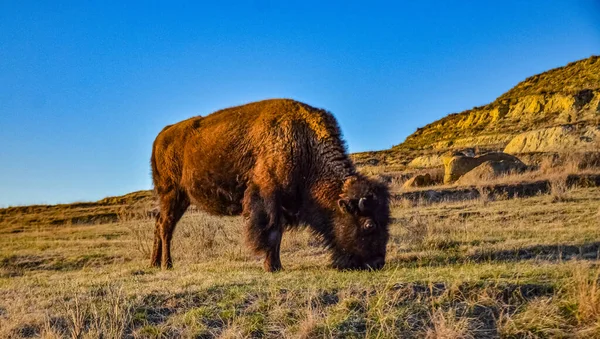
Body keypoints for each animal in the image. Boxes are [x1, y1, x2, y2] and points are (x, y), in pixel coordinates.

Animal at [151, 99, 390, 274]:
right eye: (369, 225)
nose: (377, 263)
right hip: (172, 193)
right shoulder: (267, 197)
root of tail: (162, 135)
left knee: (159, 223)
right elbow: (272, 231)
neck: (304, 144)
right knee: (166, 227)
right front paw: (272, 267)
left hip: (179, 198)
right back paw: (167, 265)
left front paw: (276, 265)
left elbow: (278, 234)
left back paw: (154, 263)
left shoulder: (282, 204)